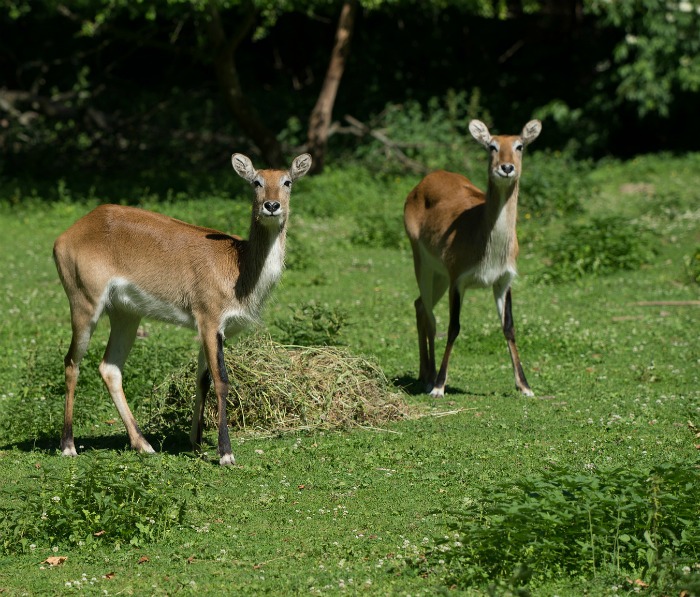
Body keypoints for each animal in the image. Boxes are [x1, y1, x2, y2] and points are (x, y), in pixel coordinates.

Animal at [53, 153, 312, 466]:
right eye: (256, 182)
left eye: (287, 181)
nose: (271, 206)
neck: (237, 268)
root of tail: (69, 233)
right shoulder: (210, 321)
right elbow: (221, 380)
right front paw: (225, 453)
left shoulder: (210, 329)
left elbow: (203, 380)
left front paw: (196, 444)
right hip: (84, 305)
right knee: (72, 362)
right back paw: (68, 446)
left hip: (126, 314)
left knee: (109, 368)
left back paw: (143, 444)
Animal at [403, 119, 541, 398]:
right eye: (492, 146)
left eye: (519, 145)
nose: (506, 167)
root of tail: (425, 180)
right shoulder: (459, 280)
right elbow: (454, 326)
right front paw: (439, 387)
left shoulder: (503, 281)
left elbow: (509, 327)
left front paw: (525, 386)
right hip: (422, 263)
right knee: (429, 316)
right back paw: (430, 379)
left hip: (440, 276)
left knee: (420, 305)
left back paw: (425, 374)